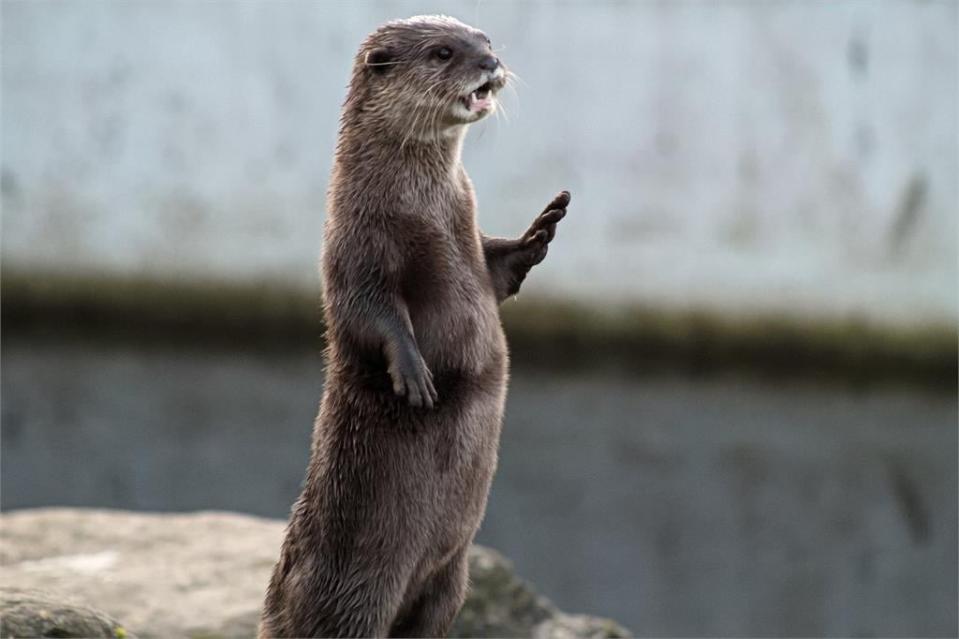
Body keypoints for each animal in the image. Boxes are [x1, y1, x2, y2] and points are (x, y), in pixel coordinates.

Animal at [260, 15, 568, 639]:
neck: (426, 208)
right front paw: (413, 372)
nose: (490, 64)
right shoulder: (354, 244)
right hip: (357, 588)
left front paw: (539, 233)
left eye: (486, 40)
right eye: (444, 52)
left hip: (451, 577)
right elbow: (365, 309)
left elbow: (498, 272)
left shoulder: (470, 240)